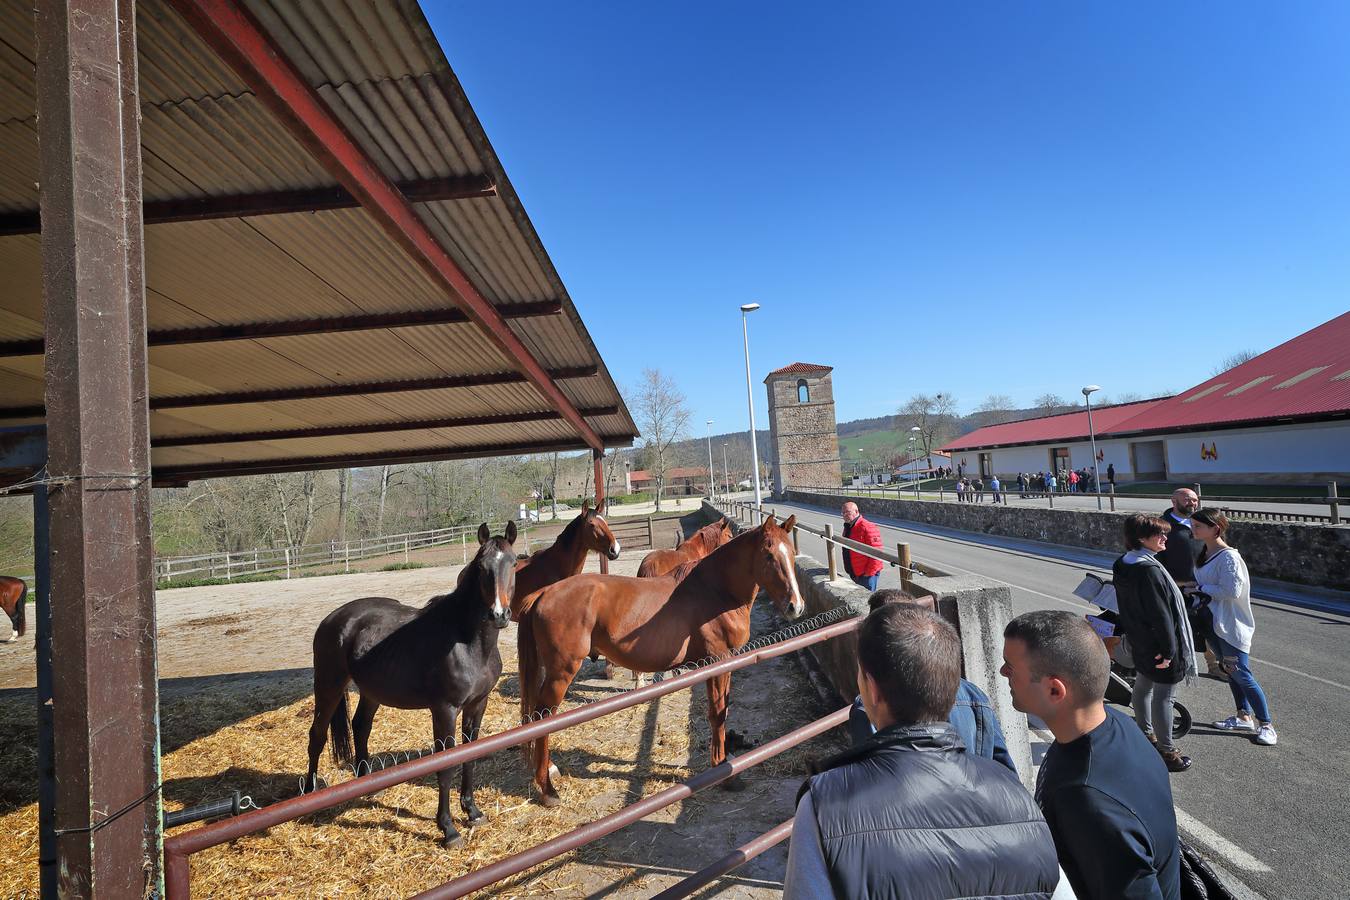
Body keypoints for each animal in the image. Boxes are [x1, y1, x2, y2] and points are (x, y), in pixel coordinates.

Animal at [309, 518, 518, 847]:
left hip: (371, 692)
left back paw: (368, 786)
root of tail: (332, 620)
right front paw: (448, 829)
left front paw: (473, 812)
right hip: (328, 686)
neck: (467, 641)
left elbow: (469, 757)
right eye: (481, 566)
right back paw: (309, 795)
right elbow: (446, 765)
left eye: (514, 562)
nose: (499, 614)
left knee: (360, 726)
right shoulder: (444, 710)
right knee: (316, 736)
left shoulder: (477, 705)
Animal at [513, 518, 799, 804]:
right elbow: (718, 714)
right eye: (768, 555)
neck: (716, 590)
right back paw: (548, 788)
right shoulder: (719, 659)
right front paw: (725, 773)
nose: (795, 606)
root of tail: (543, 594)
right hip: (561, 672)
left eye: (792, 553)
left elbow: (717, 712)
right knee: (543, 718)